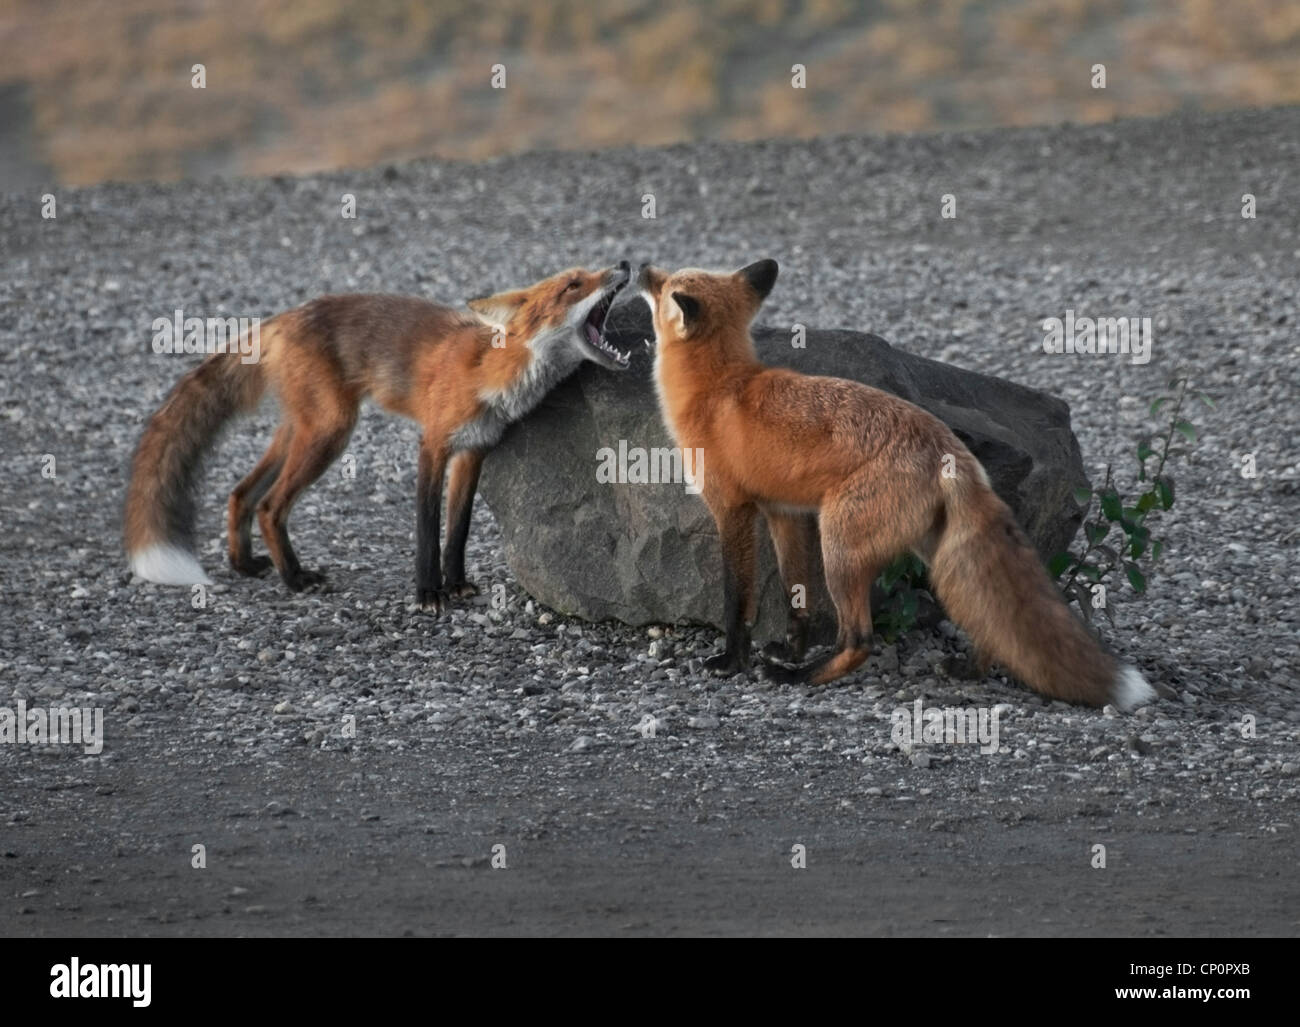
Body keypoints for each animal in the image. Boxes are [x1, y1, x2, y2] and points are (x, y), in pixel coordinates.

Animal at [124, 261, 631, 611]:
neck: (492, 371)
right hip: (330, 432)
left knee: (240, 492)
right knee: (270, 506)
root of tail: (284, 317)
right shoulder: (433, 443)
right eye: (573, 284)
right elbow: (427, 527)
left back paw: (244, 564)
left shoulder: (474, 451)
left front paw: (455, 583)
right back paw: (295, 578)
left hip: (301, 429)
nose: (624, 264)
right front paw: (428, 594)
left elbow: (458, 529)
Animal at [634, 260, 1154, 707]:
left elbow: (736, 599)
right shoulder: (784, 512)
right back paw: (968, 670)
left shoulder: (732, 509)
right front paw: (790, 648)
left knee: (859, 640)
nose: (637, 266)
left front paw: (734, 661)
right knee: (990, 622)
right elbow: (794, 593)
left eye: (663, 285)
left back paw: (799, 678)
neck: (721, 387)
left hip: (840, 546)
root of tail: (952, 452)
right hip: (928, 553)